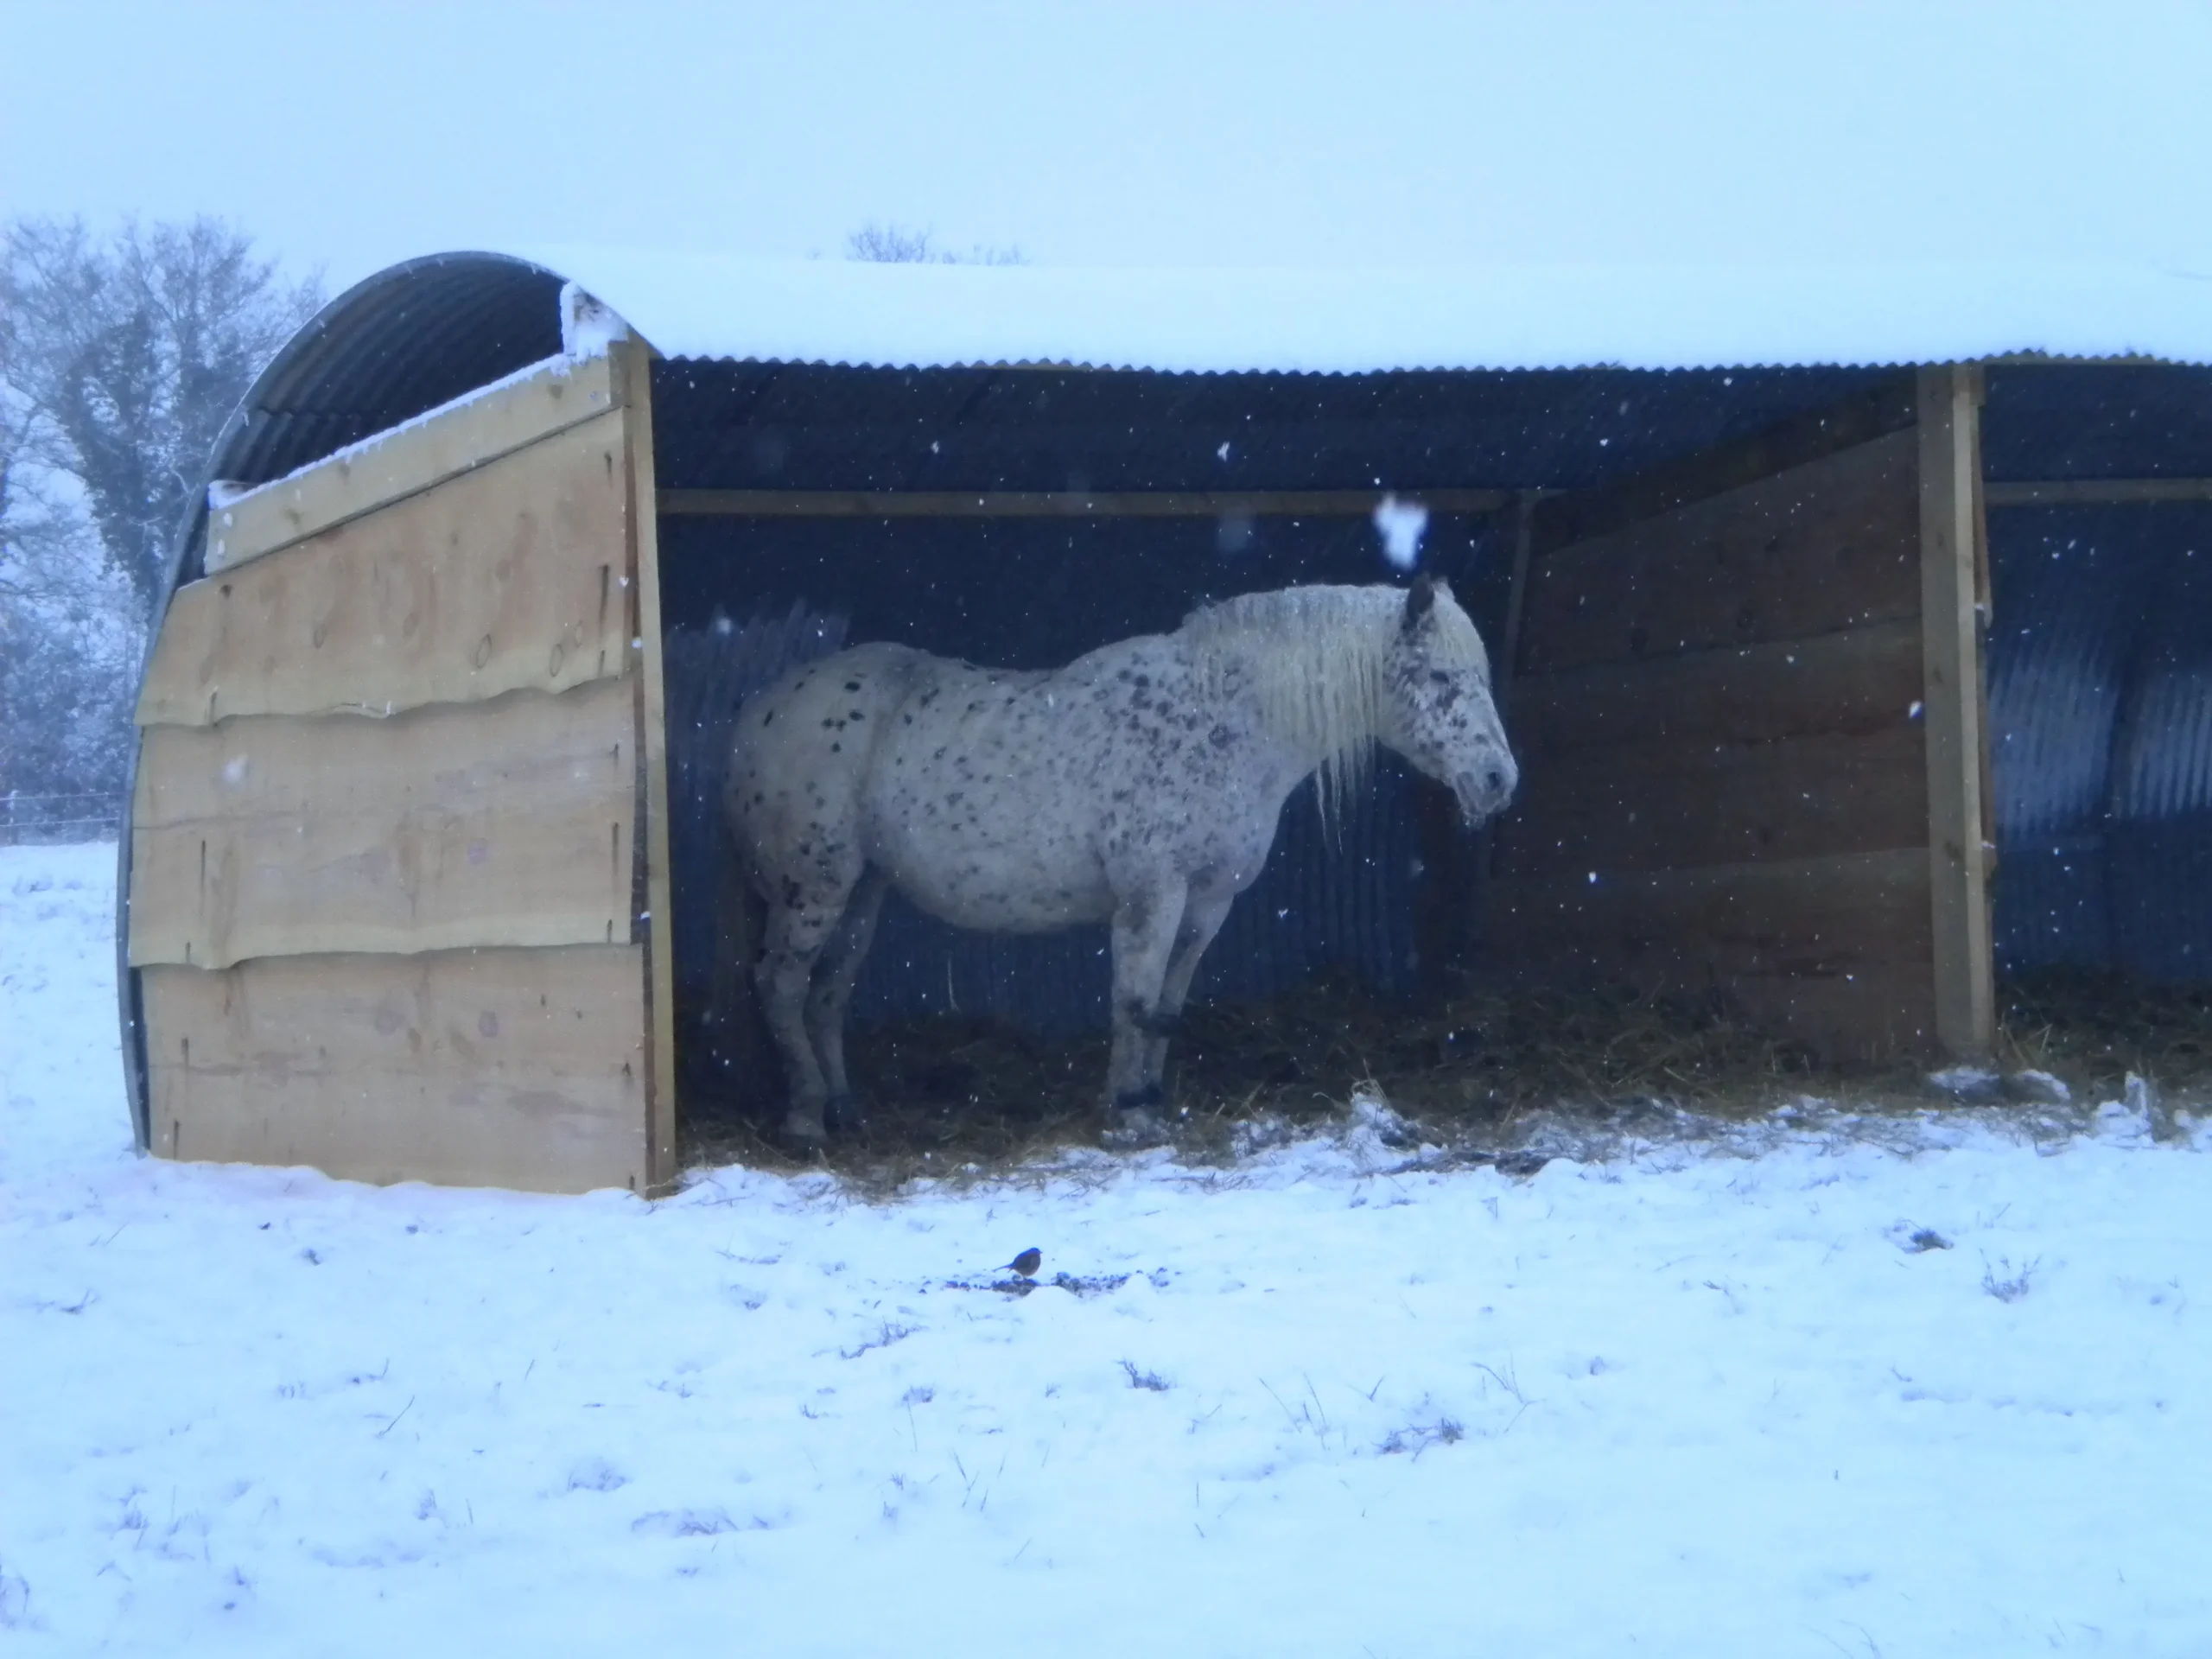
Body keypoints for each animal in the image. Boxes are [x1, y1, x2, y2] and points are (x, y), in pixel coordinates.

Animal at [724, 577, 1518, 1146]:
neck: (1224, 723)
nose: (1498, 780)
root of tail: (760, 711)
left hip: (864, 891)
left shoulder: (1208, 902)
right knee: (782, 986)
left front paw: (1150, 1103)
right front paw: (1129, 1115)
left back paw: (844, 1111)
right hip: (814, 890)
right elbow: (1133, 1001)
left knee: (828, 994)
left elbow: (1166, 1005)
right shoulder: (1153, 894)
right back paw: (804, 1120)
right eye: (1440, 677)